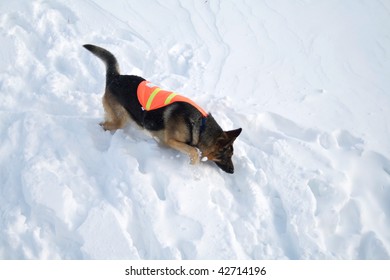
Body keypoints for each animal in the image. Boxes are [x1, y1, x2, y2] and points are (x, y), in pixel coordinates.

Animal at [83, 44, 241, 173]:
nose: (233, 171)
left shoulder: (166, 141)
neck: (200, 126)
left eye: (231, 156)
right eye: (226, 156)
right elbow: (194, 151)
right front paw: (193, 165)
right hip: (119, 120)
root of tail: (116, 77)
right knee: (104, 125)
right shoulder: (171, 140)